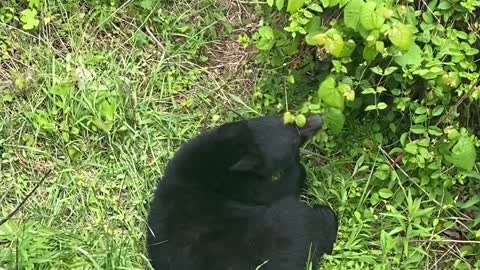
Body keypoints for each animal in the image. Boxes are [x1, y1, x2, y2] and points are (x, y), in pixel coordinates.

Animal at [146, 115, 338, 270]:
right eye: (294, 140)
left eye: (288, 120)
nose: (319, 119)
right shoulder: (243, 186)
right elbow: (279, 189)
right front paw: (297, 167)